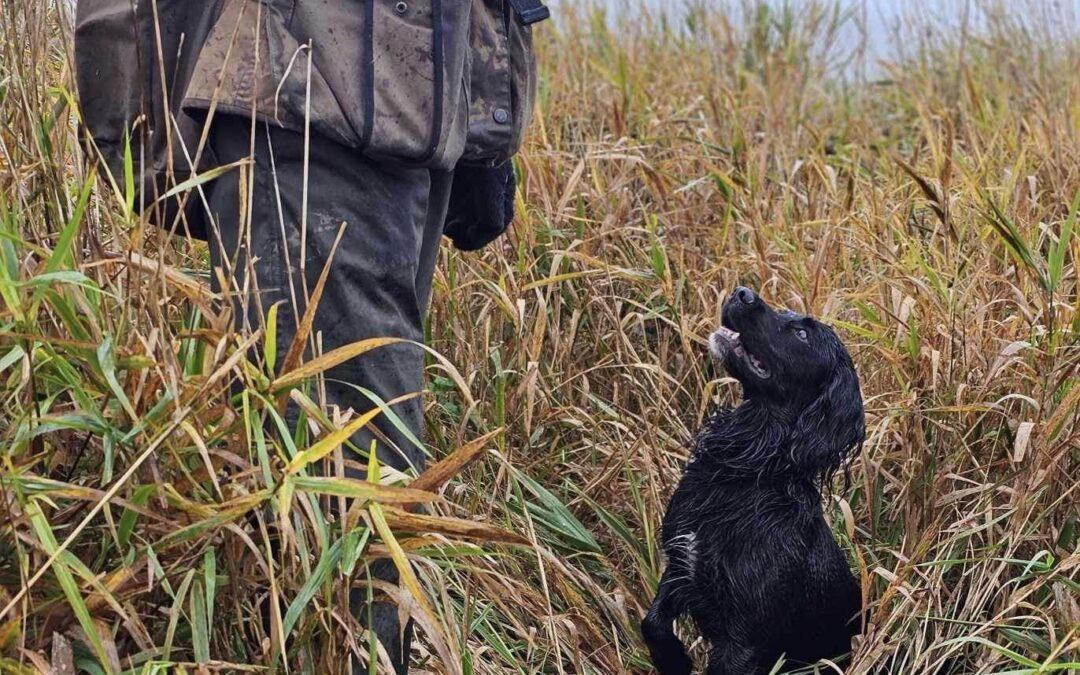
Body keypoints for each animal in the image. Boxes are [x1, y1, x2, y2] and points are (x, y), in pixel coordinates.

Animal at [639, 287, 868, 673]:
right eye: (786, 313)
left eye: (802, 334)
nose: (741, 292)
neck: (746, 467)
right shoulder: (682, 565)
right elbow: (652, 623)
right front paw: (673, 660)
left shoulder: (743, 639)